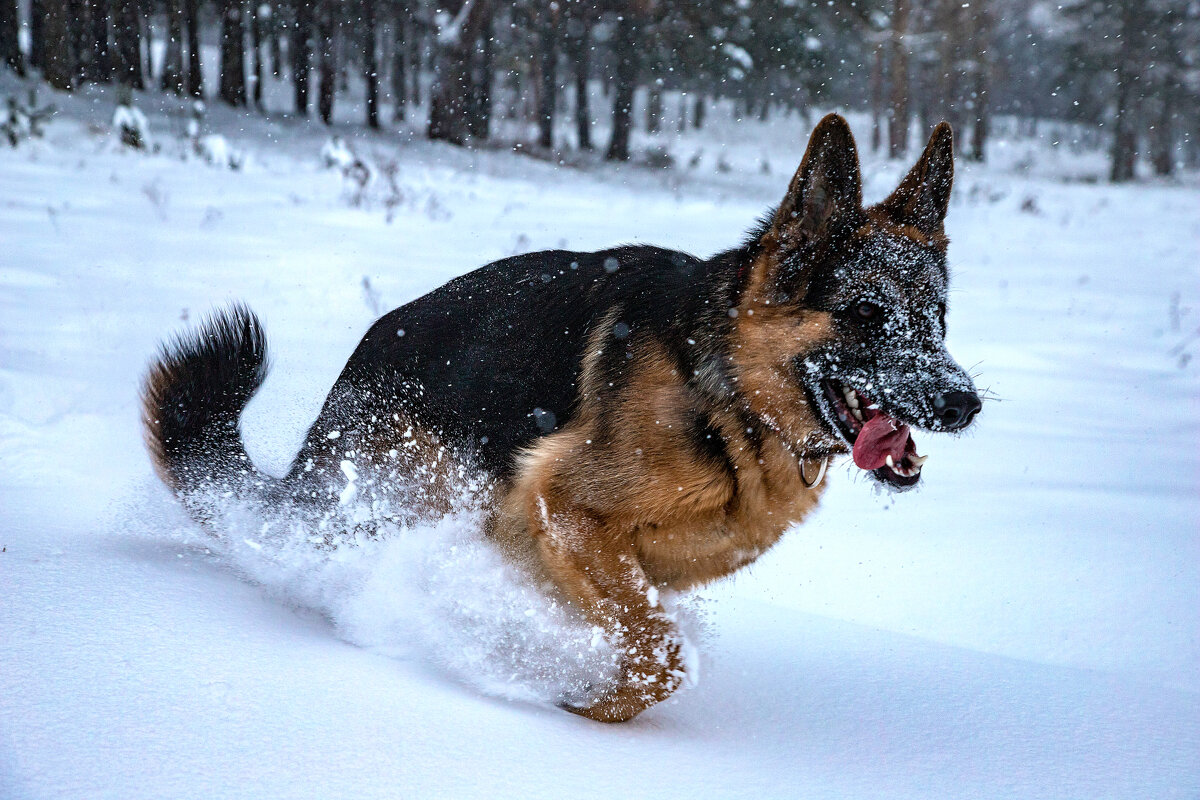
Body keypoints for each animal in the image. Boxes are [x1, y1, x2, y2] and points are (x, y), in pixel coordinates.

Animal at [145, 115, 979, 724]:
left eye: (937, 319)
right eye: (865, 314)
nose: (964, 403)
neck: (725, 393)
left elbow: (645, 628)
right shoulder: (563, 505)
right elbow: (660, 656)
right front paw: (585, 701)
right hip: (424, 483)